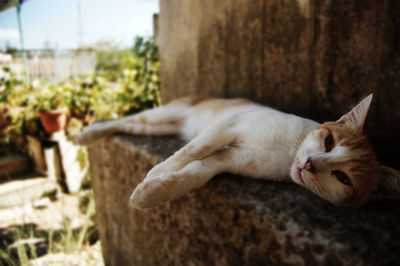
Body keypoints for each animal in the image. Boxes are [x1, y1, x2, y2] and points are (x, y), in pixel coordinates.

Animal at [76, 94, 400, 209]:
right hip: (160, 116)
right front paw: (155, 173)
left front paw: (149, 194)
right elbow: (192, 150)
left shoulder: (225, 160)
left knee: (128, 125)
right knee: (122, 120)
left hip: (158, 127)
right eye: (329, 142)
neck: (288, 152)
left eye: (343, 178)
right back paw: (86, 134)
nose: (309, 164)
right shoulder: (230, 125)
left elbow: (195, 173)